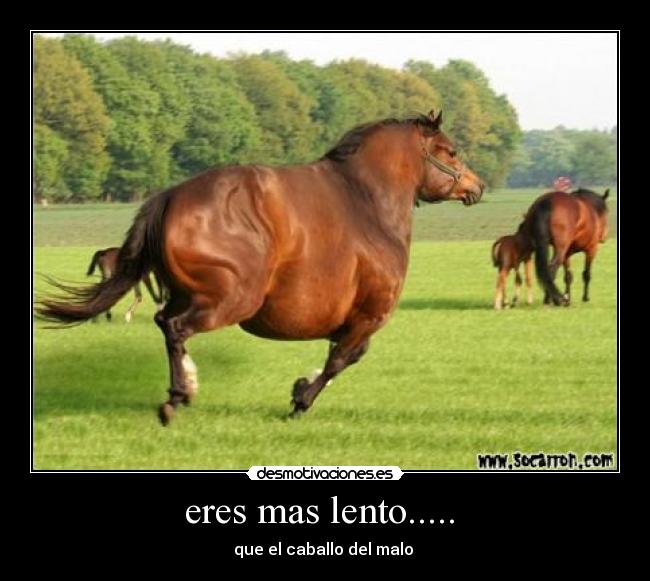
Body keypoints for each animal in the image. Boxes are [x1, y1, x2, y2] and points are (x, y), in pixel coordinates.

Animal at [37, 110, 485, 425]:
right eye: (451, 151)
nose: (476, 186)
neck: (366, 202)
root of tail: (170, 197)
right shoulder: (369, 314)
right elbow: (343, 358)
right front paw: (300, 398)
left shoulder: (356, 319)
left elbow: (340, 355)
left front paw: (301, 387)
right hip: (231, 300)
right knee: (176, 328)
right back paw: (177, 397)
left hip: (193, 294)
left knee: (166, 322)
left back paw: (186, 386)